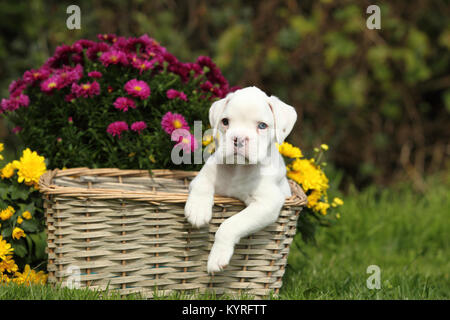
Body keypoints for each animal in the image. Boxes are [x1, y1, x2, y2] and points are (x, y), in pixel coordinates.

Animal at [185, 86, 298, 274]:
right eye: (225, 122)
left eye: (262, 126)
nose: (238, 138)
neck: (238, 169)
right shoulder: (205, 174)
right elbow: (202, 185)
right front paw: (197, 210)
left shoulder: (267, 204)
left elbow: (230, 224)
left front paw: (217, 257)